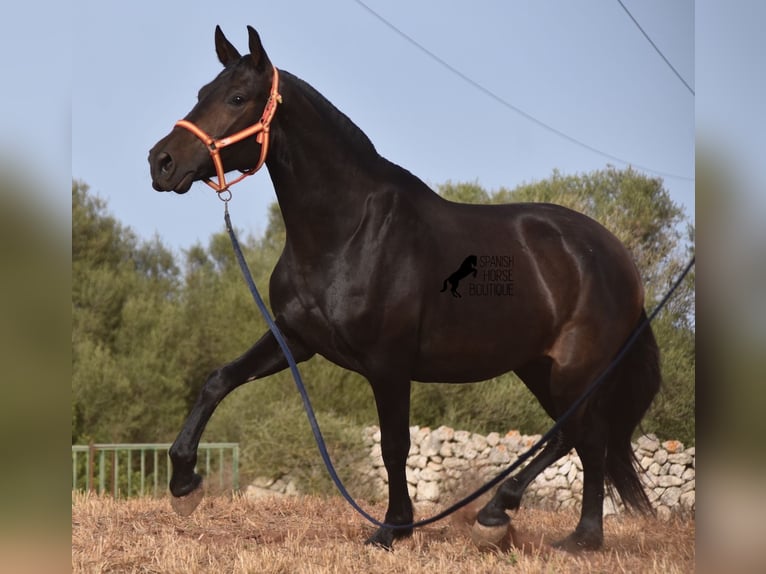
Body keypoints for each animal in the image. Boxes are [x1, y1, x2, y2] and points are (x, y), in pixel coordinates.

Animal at [148, 25, 660, 552]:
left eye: (237, 98)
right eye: (201, 94)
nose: (161, 162)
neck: (346, 233)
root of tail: (617, 257)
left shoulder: (388, 362)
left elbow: (395, 444)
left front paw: (393, 527)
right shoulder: (296, 339)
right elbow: (219, 380)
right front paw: (183, 484)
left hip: (574, 369)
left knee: (576, 434)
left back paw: (511, 516)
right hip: (538, 366)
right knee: (586, 440)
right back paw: (574, 536)